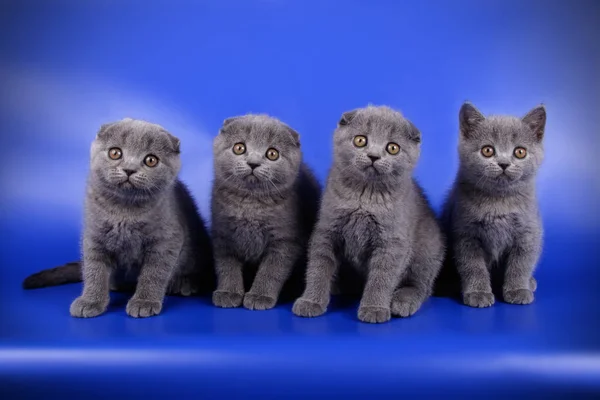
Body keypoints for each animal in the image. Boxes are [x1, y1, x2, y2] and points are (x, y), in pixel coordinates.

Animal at [24, 117, 216, 318]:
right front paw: (90, 301)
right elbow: (94, 270)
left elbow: (154, 273)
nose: (129, 169)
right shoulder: (94, 236)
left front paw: (144, 301)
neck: (124, 211)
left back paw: (185, 283)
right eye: (115, 153)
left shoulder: (167, 241)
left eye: (151, 160)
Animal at [212, 114, 324, 310]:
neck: (251, 204)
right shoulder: (223, 236)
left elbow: (271, 270)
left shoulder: (285, 240)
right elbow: (226, 267)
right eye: (239, 148)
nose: (253, 163)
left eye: (272, 153)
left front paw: (260, 295)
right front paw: (228, 292)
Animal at [292, 105, 442, 322]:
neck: (364, 197)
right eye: (360, 140)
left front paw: (374, 308)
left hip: (427, 250)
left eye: (393, 147)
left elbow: (382, 277)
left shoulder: (392, 242)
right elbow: (318, 267)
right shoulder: (327, 230)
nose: (373, 156)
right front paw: (311, 301)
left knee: (422, 285)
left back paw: (403, 301)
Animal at [438, 101, 548, 308]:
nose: (504, 163)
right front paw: (478, 293)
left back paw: (529, 282)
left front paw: (518, 289)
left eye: (520, 152)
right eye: (487, 150)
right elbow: (473, 266)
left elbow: (521, 263)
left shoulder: (528, 232)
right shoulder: (466, 234)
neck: (499, 201)